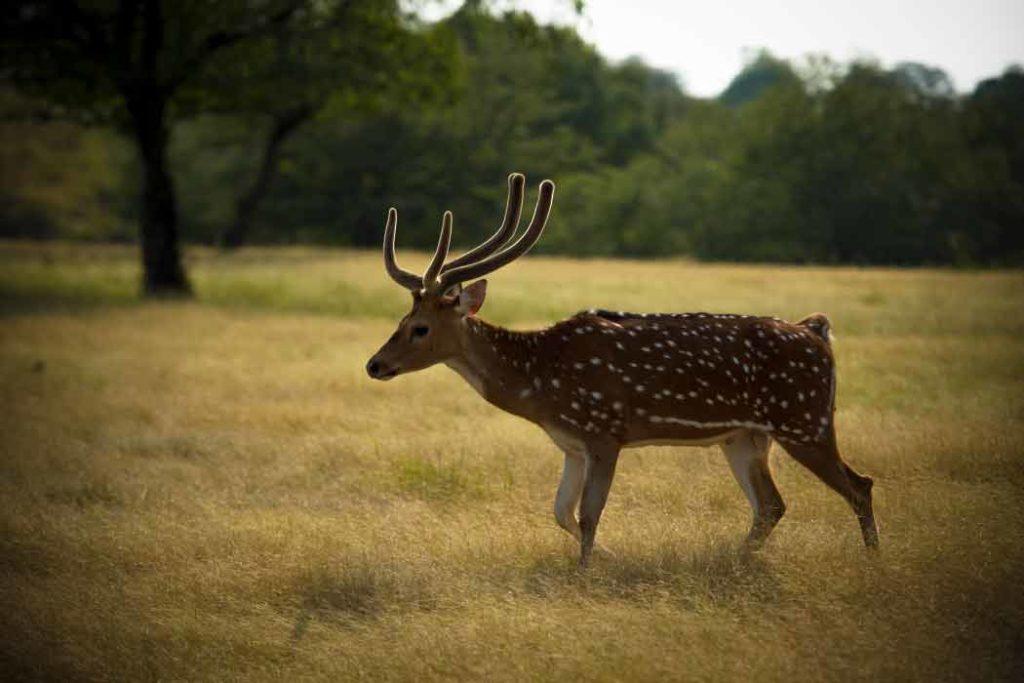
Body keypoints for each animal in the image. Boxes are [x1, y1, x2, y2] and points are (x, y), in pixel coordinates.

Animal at [368, 174, 880, 569]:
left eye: (418, 328)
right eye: (399, 319)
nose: (375, 364)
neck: (541, 384)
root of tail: (818, 331)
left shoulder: (605, 430)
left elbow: (589, 514)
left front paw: (586, 572)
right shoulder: (572, 445)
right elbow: (560, 512)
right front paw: (606, 558)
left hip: (805, 419)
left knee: (858, 485)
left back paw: (873, 562)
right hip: (745, 437)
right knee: (771, 505)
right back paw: (732, 561)